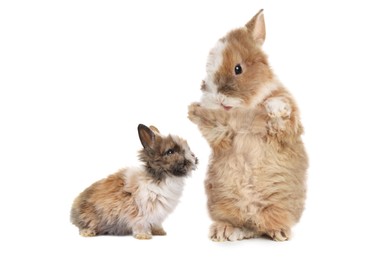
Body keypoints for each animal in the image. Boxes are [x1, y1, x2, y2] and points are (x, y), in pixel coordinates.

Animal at [70, 124, 198, 240]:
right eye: (170, 152)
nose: (195, 159)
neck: (160, 178)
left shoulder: (156, 214)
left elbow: (155, 222)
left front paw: (160, 232)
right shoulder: (139, 210)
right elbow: (141, 223)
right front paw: (144, 236)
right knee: (84, 226)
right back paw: (88, 233)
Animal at [189, 9, 308, 242]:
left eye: (238, 68)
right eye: (206, 76)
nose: (218, 99)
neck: (243, 112)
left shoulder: (287, 128)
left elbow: (281, 113)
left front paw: (274, 106)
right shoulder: (223, 135)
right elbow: (216, 127)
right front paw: (195, 110)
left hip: (277, 207)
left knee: (265, 225)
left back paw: (280, 232)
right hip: (224, 203)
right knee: (243, 226)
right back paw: (223, 231)